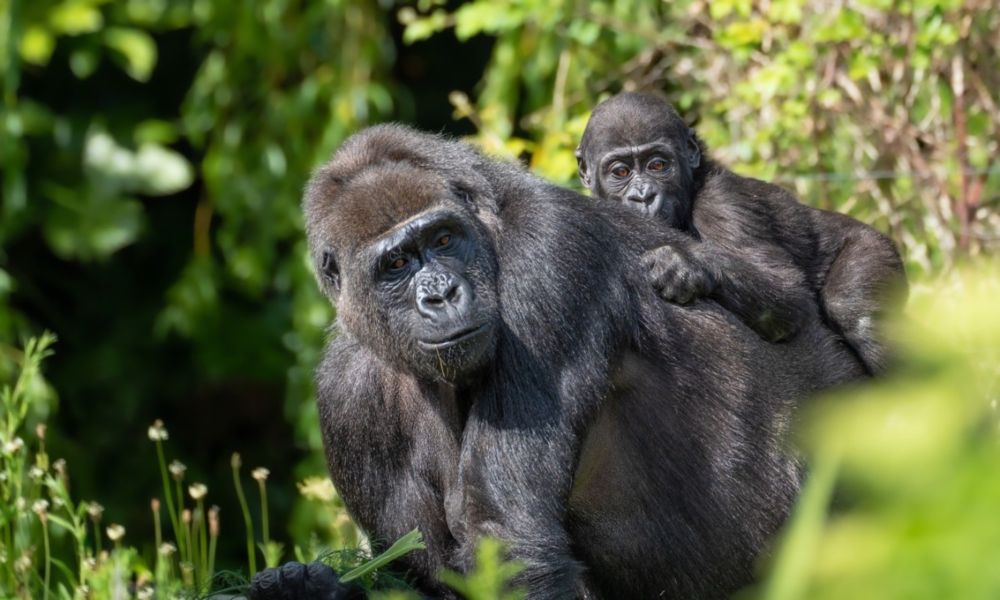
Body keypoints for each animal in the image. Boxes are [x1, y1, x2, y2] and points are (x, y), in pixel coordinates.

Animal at [254, 124, 864, 596]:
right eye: (397, 264)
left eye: (445, 239)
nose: (441, 295)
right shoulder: (345, 398)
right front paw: (307, 586)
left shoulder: (547, 252)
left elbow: (510, 539)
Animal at [576, 91, 912, 372]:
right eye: (620, 172)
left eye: (658, 165)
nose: (644, 195)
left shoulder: (724, 201)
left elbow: (785, 291)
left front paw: (684, 264)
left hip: (874, 246)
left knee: (857, 315)